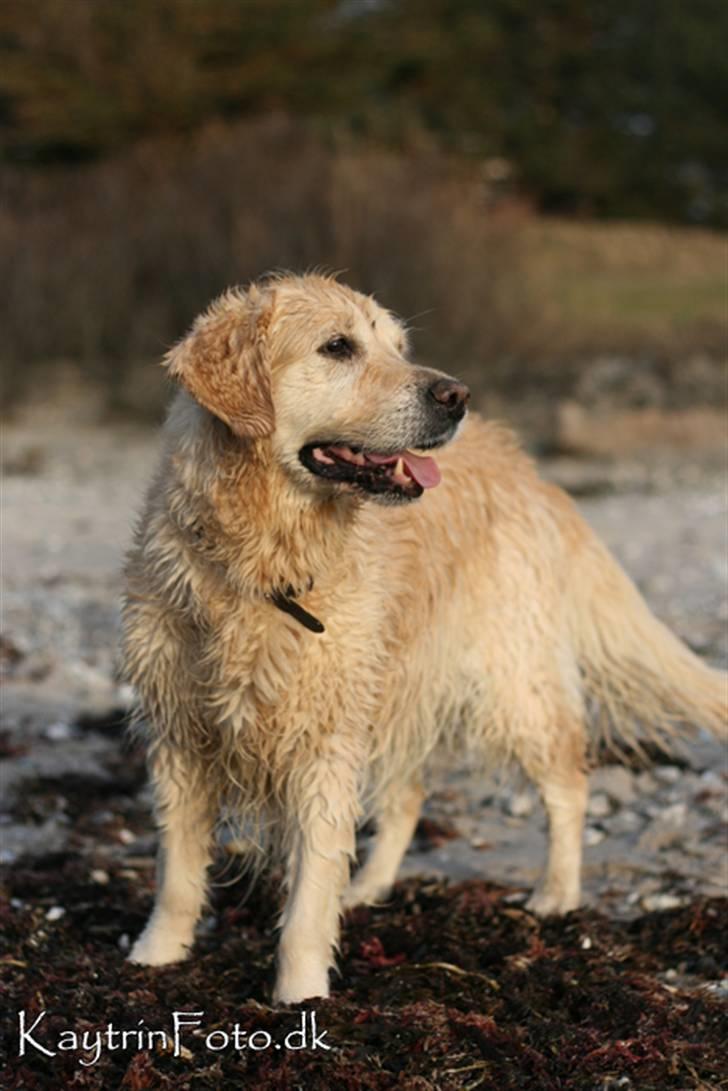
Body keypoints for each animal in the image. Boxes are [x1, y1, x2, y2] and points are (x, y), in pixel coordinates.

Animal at [122, 270, 724, 999]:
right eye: (338, 346)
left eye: (397, 346)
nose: (456, 395)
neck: (265, 560)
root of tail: (530, 470)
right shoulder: (180, 732)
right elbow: (178, 873)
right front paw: (156, 954)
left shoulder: (323, 739)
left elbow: (307, 896)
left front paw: (300, 995)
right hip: (392, 682)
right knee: (407, 797)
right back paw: (368, 887)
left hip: (508, 681)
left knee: (567, 784)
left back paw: (555, 893)